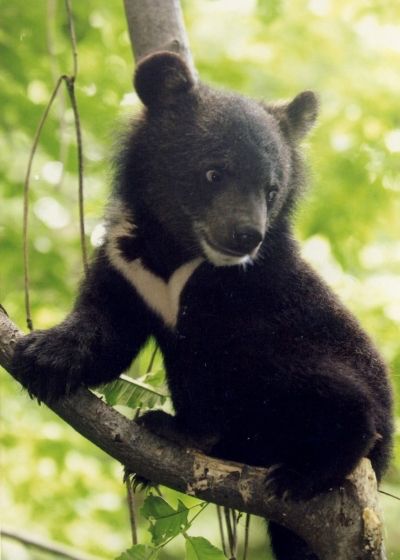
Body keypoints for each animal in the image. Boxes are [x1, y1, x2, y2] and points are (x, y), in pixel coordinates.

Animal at [13, 53, 394, 560]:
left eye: (271, 189)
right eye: (214, 173)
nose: (246, 236)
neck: (179, 254)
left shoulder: (253, 298)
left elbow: (213, 368)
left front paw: (184, 432)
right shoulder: (125, 266)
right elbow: (106, 330)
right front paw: (40, 357)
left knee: (338, 394)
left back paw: (300, 471)